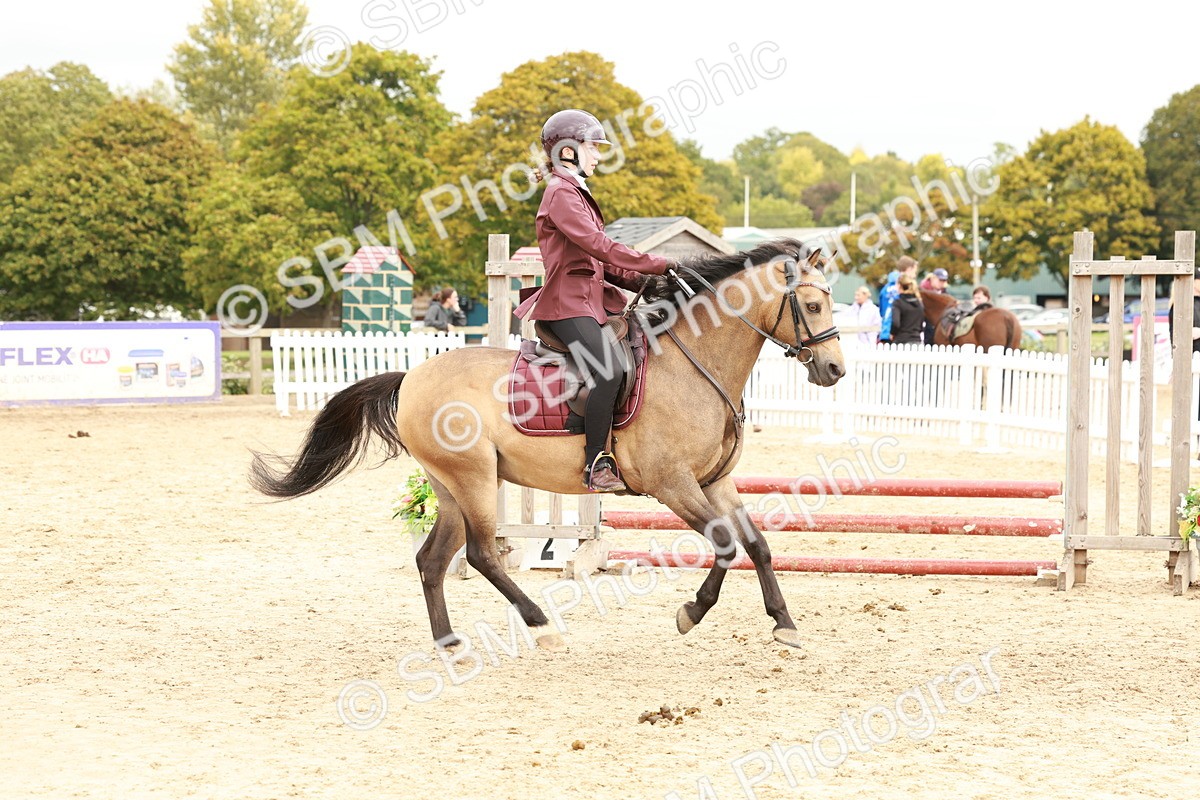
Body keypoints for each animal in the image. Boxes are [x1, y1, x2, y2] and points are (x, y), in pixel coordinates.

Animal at [250, 239, 846, 652]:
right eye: (814, 306)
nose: (835, 370)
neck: (693, 363)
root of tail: (411, 377)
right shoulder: (672, 485)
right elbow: (724, 545)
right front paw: (691, 612)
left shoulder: (715, 482)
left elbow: (757, 545)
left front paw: (785, 624)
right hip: (474, 481)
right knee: (482, 554)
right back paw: (542, 627)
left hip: (450, 487)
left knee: (432, 560)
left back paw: (449, 642)